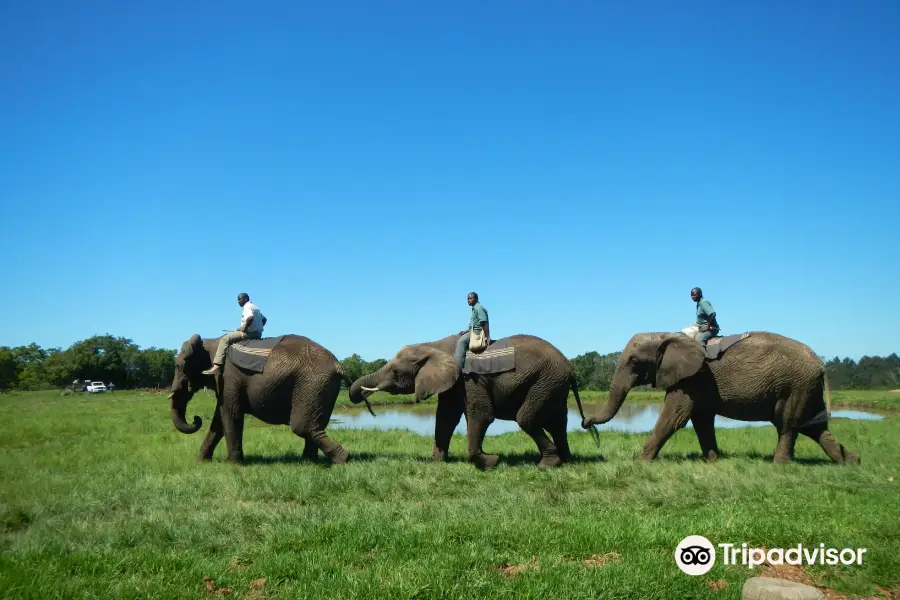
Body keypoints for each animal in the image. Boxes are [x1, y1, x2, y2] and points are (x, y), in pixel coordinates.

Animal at [166, 332, 372, 464]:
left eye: (177, 367)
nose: (196, 418)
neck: (211, 342)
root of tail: (338, 365)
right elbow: (219, 420)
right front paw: (200, 462)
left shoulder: (228, 377)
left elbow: (230, 415)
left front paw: (234, 465)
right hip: (323, 387)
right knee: (313, 425)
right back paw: (310, 462)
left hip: (313, 383)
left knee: (302, 426)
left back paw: (342, 460)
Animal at [348, 332, 596, 468]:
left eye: (396, 373)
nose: (363, 400)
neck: (433, 345)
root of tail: (570, 367)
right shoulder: (454, 382)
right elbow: (446, 417)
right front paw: (436, 462)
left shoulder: (469, 379)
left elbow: (481, 414)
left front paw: (491, 462)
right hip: (553, 384)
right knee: (557, 422)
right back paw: (565, 460)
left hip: (545, 381)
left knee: (527, 419)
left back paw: (546, 465)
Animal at [580, 332, 860, 464]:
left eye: (634, 362)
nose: (585, 422)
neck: (665, 334)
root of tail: (821, 365)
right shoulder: (696, 384)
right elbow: (702, 420)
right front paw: (713, 461)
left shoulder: (691, 380)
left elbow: (674, 417)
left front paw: (641, 462)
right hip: (806, 388)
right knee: (814, 425)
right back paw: (851, 462)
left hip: (794, 385)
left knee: (788, 424)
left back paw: (779, 464)